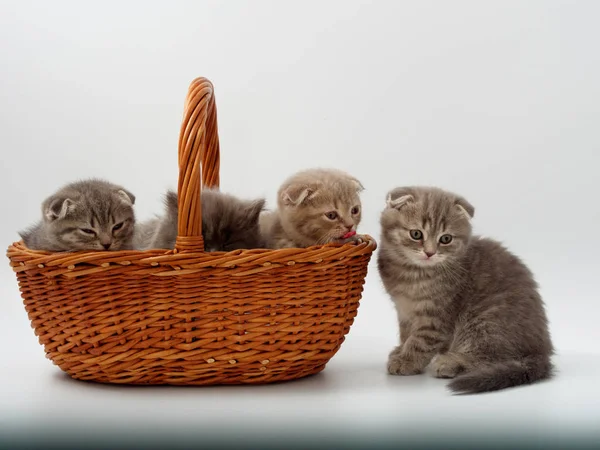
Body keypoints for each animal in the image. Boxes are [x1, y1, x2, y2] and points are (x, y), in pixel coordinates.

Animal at [380, 186, 552, 394]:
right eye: (416, 234)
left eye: (446, 239)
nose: (430, 253)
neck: (411, 274)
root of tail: (540, 352)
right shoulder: (404, 311)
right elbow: (406, 333)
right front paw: (401, 349)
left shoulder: (438, 316)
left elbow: (421, 341)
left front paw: (407, 361)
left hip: (485, 320)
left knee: (493, 357)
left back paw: (451, 363)